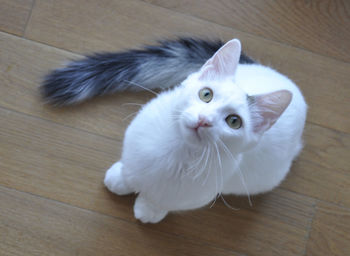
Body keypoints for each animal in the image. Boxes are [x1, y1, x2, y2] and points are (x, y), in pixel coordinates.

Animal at [42, 37, 308, 222]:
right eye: (206, 94)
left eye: (234, 121)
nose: (204, 120)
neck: (176, 151)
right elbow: (131, 170)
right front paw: (120, 179)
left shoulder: (192, 195)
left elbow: (160, 200)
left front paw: (148, 210)